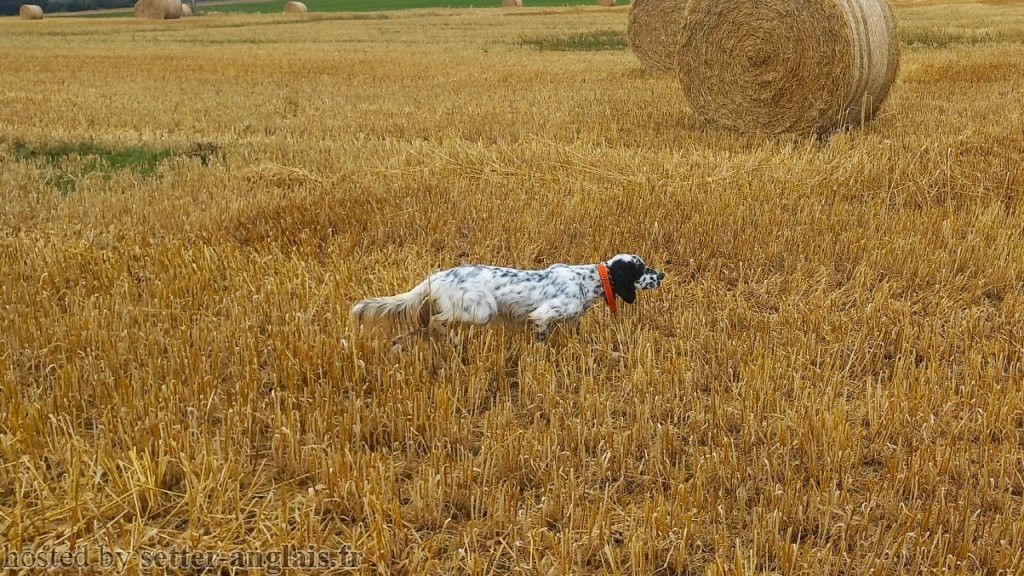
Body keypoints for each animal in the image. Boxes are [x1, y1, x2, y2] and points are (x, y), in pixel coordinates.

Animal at [352, 253, 667, 338]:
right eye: (641, 269)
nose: (662, 275)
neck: (588, 280)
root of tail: (437, 278)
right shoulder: (542, 315)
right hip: (482, 310)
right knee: (437, 321)